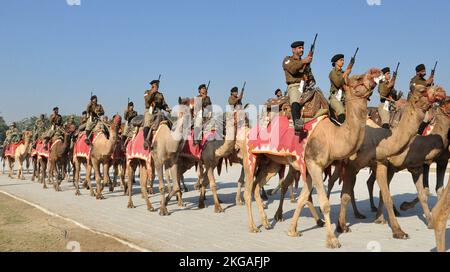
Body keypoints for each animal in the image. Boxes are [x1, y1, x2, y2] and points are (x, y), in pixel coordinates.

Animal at [243, 68, 384, 249]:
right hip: (250, 156)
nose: (376, 72)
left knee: (257, 186)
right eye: (358, 77)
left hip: (271, 162)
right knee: (248, 190)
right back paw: (253, 226)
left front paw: (292, 230)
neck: (333, 136)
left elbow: (303, 198)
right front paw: (332, 239)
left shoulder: (310, 167)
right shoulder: (314, 165)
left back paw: (267, 223)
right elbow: (324, 203)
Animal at [332, 86, 444, 236]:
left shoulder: (384, 164)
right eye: (420, 93)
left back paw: (358, 214)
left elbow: (390, 195)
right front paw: (342, 226)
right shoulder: (353, 165)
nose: (439, 91)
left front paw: (400, 229)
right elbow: (345, 196)